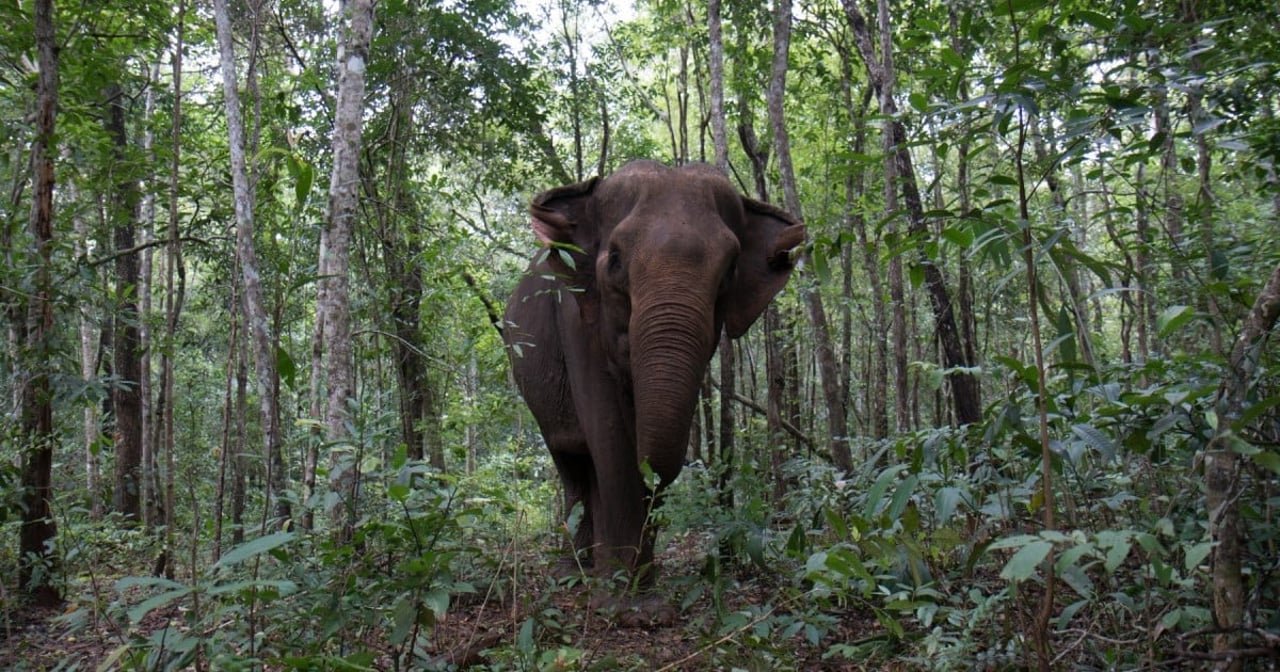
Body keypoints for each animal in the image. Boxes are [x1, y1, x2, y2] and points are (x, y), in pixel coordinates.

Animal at [499, 161, 798, 586]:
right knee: (572, 464)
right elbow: (608, 433)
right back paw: (571, 569)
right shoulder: (574, 320)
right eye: (615, 260)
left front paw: (639, 581)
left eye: (730, 270)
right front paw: (622, 592)